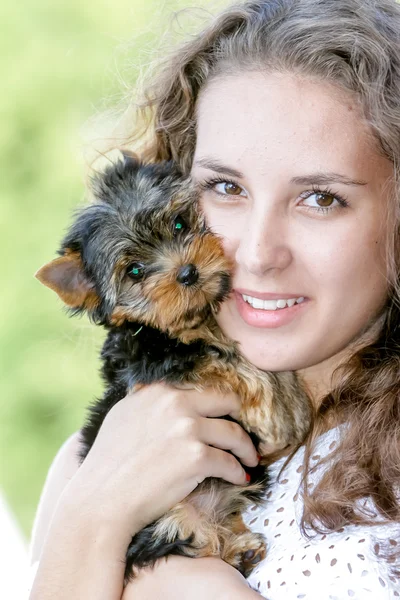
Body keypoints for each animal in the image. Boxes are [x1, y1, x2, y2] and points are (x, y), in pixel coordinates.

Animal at [36, 155, 310, 580]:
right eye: (134, 271)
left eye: (180, 224)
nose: (187, 272)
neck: (195, 320)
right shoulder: (157, 360)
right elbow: (229, 361)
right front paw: (275, 417)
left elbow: (265, 361)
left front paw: (293, 402)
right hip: (168, 521)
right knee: (193, 537)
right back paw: (235, 551)